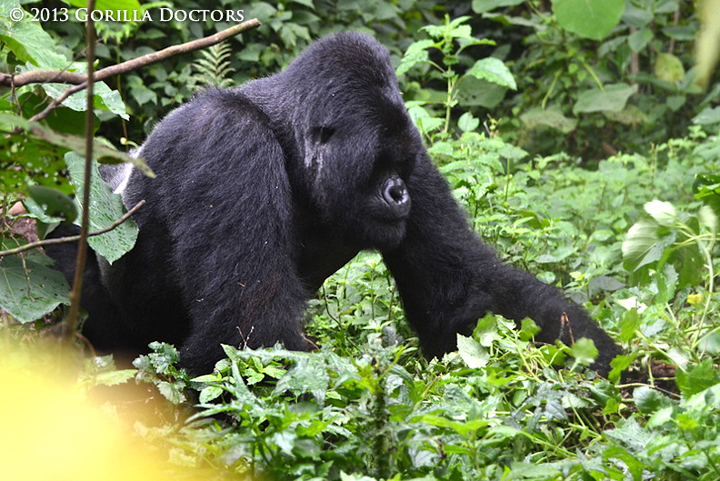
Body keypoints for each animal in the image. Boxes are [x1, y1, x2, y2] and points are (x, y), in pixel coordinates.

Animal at [46, 31, 620, 376]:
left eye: (400, 167)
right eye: (379, 167)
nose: (399, 192)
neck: (286, 140)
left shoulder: (415, 149)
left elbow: (467, 293)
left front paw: (612, 365)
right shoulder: (228, 143)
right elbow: (251, 333)